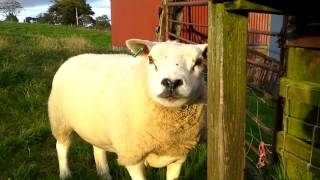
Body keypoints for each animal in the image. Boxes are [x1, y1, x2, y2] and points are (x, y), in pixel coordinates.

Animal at [47, 39, 208, 180]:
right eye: (151, 60)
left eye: (199, 62)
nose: (171, 83)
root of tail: (72, 58)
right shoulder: (132, 155)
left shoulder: (178, 155)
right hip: (60, 120)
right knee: (61, 147)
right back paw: (65, 174)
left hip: (96, 126)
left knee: (98, 148)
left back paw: (104, 174)